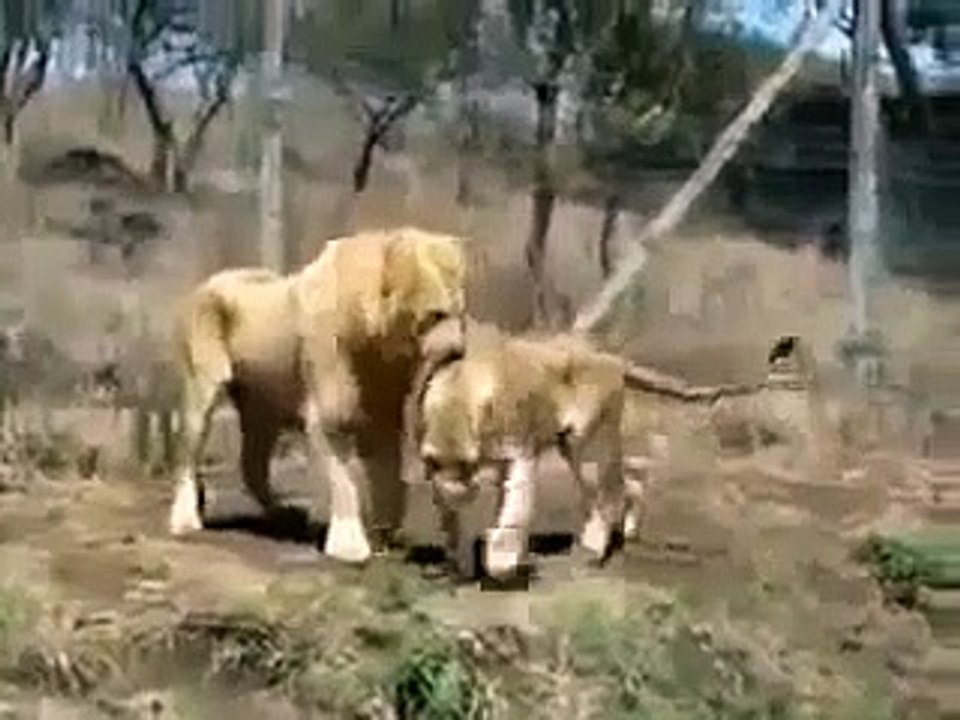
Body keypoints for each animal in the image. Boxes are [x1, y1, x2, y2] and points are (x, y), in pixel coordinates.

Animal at [168, 227, 468, 565]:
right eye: (436, 314)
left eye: (460, 312)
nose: (456, 351)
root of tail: (203, 284)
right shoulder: (329, 385)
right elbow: (341, 465)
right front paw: (350, 548)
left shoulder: (383, 398)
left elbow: (387, 467)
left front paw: (386, 534)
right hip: (204, 362)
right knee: (192, 437)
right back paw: (185, 520)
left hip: (263, 398)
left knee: (254, 455)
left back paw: (287, 515)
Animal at [412, 323, 761, 580]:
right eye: (435, 464)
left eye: (468, 463)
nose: (460, 489)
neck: (456, 407)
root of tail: (607, 356)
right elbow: (457, 521)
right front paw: (459, 564)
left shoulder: (520, 453)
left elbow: (514, 511)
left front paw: (501, 563)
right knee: (629, 484)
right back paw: (628, 531)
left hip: (586, 444)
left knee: (608, 494)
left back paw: (593, 550)